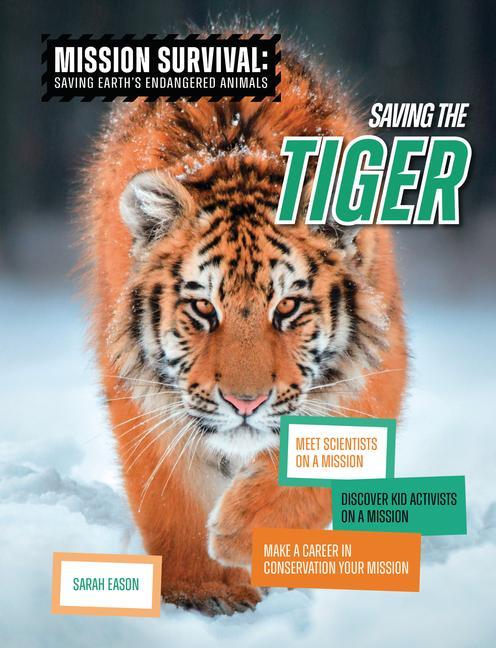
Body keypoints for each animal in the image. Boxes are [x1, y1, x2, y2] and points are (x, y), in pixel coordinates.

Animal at [82, 32, 407, 616]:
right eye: (204, 308)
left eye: (288, 308)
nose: (245, 403)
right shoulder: (144, 394)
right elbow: (176, 500)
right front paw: (204, 589)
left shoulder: (375, 371)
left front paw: (242, 536)